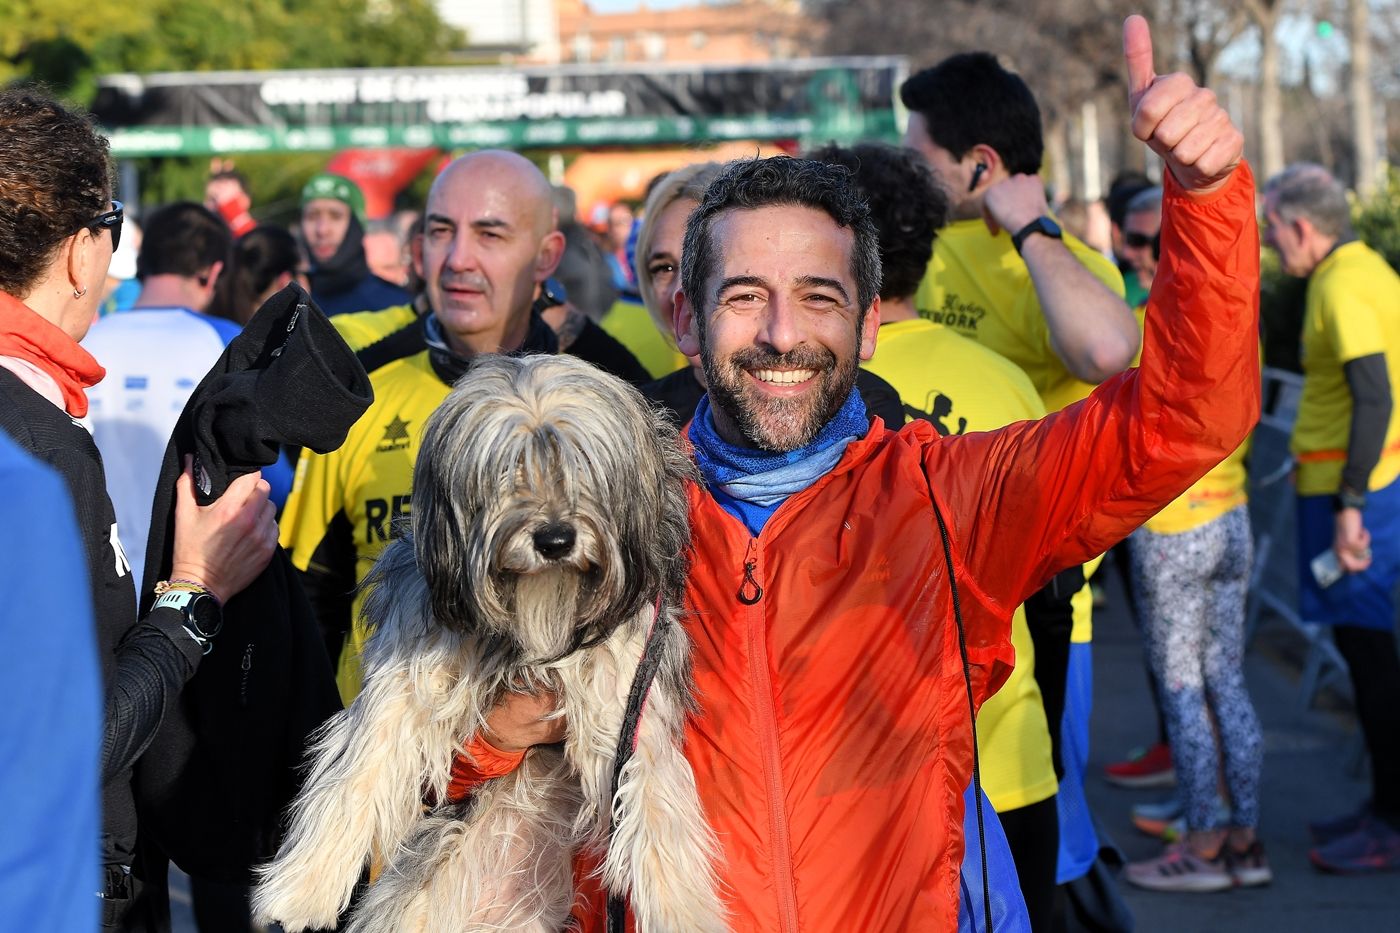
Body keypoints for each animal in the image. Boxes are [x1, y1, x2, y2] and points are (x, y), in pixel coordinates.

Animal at [253, 354, 728, 930]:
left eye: (581, 466)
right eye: (508, 470)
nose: (554, 540)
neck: (539, 609)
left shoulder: (630, 689)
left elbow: (656, 809)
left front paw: (686, 915)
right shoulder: (412, 666)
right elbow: (362, 766)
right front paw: (304, 887)